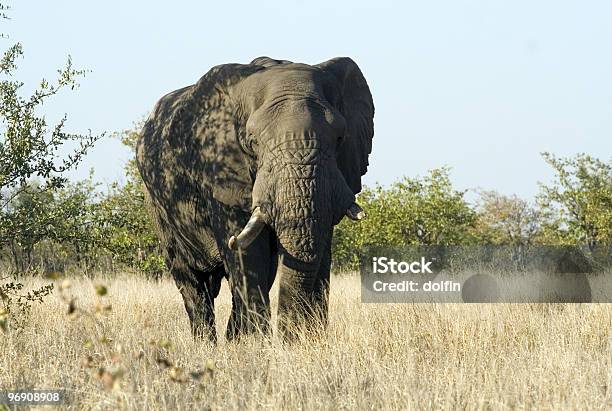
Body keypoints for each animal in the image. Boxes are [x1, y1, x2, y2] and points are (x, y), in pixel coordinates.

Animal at [137, 56, 372, 342]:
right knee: (191, 279)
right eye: (253, 143)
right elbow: (247, 252)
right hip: (157, 205)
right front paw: (255, 345)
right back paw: (207, 344)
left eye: (340, 138)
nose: (289, 338)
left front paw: (305, 342)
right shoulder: (220, 169)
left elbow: (319, 246)